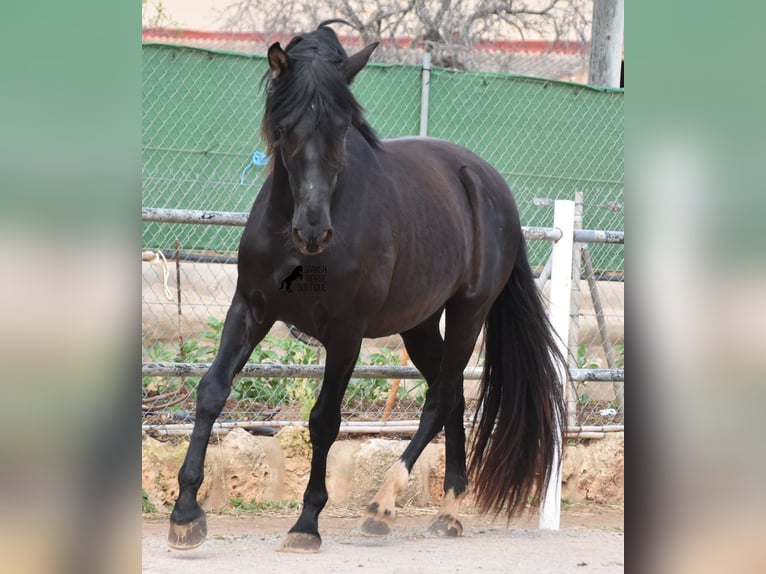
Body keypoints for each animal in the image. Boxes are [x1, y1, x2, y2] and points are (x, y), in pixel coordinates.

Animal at [171, 20, 568, 556]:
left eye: (342, 129)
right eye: (285, 128)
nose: (313, 231)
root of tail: (488, 182)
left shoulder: (346, 332)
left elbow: (324, 419)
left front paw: (306, 523)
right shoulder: (250, 309)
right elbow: (212, 390)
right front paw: (185, 515)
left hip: (469, 312)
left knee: (440, 398)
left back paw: (382, 507)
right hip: (420, 324)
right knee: (451, 397)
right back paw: (447, 513)